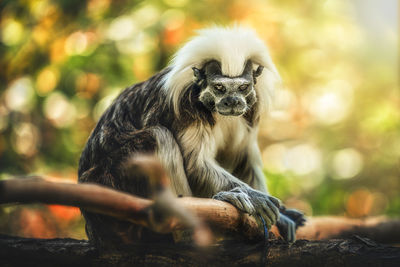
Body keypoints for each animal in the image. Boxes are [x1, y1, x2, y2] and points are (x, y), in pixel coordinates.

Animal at [77, 26, 304, 248]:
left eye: (242, 87)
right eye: (219, 87)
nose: (232, 102)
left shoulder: (249, 113)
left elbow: (244, 158)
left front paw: (283, 217)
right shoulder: (186, 106)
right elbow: (196, 164)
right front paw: (254, 197)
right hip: (110, 181)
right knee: (158, 136)